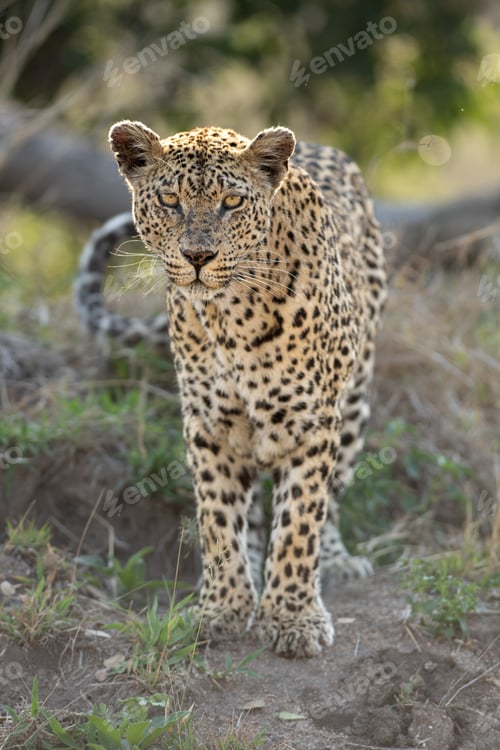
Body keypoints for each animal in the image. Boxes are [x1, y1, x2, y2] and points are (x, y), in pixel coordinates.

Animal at [77, 120, 387, 657]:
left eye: (232, 203)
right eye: (171, 201)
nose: (198, 256)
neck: (233, 314)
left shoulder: (311, 424)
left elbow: (301, 520)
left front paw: (292, 617)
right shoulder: (210, 425)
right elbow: (218, 519)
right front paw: (223, 608)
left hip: (353, 400)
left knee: (329, 498)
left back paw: (335, 561)